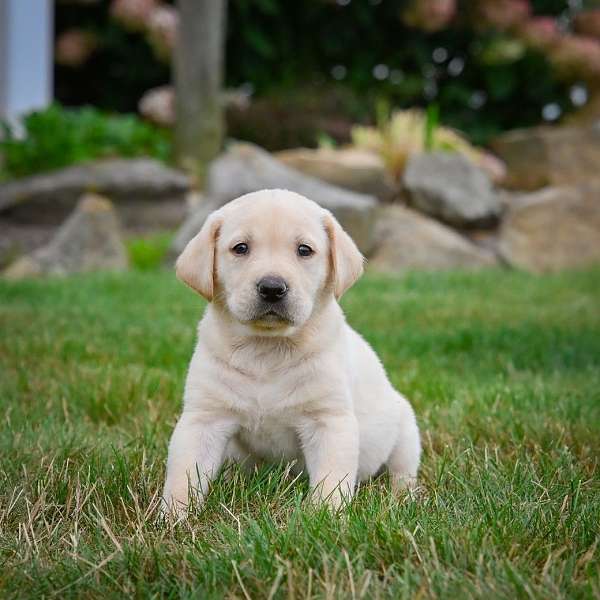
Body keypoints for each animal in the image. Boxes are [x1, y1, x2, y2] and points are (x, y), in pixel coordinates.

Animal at [162, 190, 420, 512]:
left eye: (304, 250)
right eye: (240, 248)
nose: (272, 287)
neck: (266, 350)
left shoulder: (329, 421)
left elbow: (331, 481)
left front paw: (325, 516)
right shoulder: (203, 419)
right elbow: (183, 475)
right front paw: (172, 518)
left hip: (406, 429)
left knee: (403, 471)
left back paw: (403, 498)